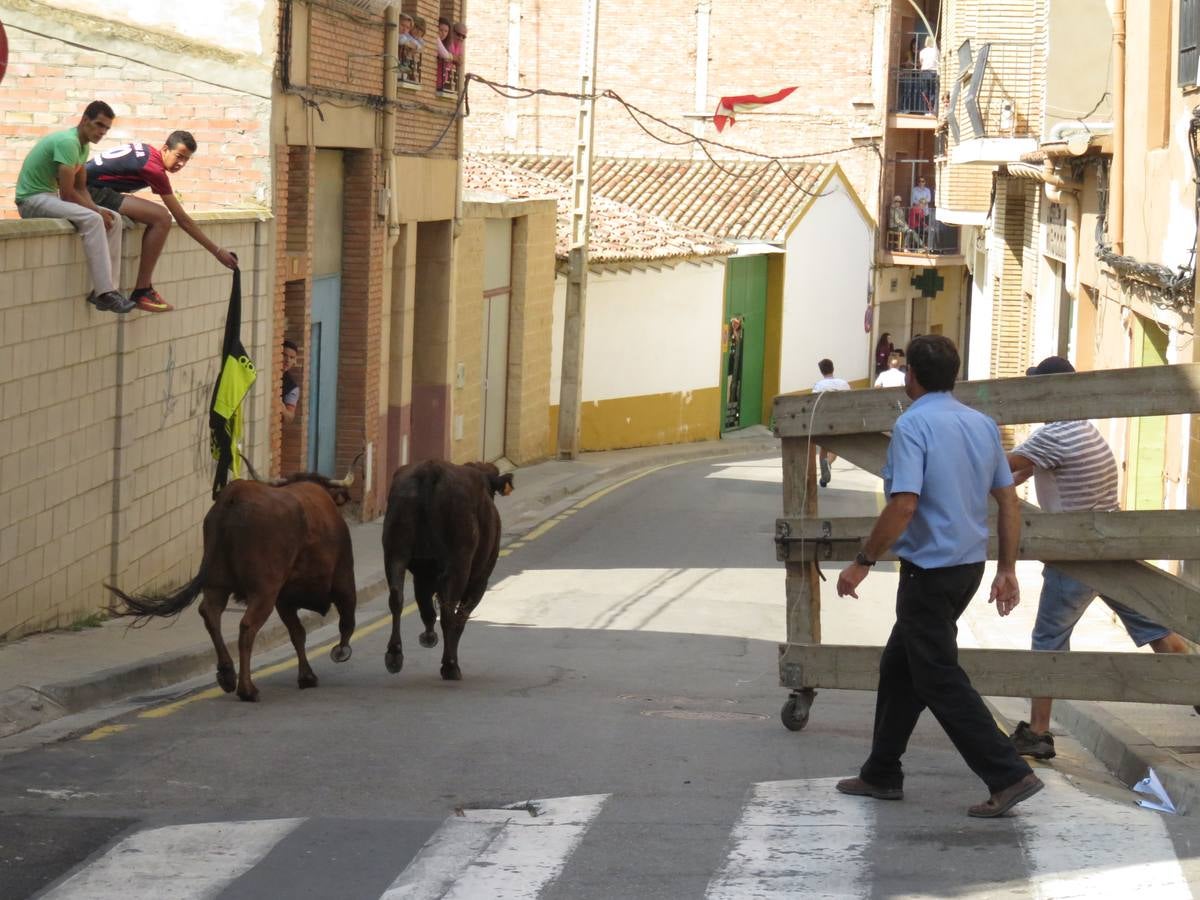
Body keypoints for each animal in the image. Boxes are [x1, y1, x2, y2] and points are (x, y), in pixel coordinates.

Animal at [106, 472, 355, 705]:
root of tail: (234, 496)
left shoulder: (284, 599)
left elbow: (298, 633)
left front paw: (306, 676)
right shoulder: (342, 580)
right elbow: (345, 622)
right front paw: (339, 653)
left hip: (217, 583)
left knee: (210, 614)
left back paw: (227, 675)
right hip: (263, 590)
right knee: (247, 627)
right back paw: (247, 689)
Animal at [381, 460, 513, 681]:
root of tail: (430, 469)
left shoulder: (423, 575)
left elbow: (426, 608)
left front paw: (428, 635)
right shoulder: (480, 580)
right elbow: (461, 617)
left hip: (394, 553)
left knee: (397, 598)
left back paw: (394, 655)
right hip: (459, 565)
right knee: (449, 613)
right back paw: (450, 665)